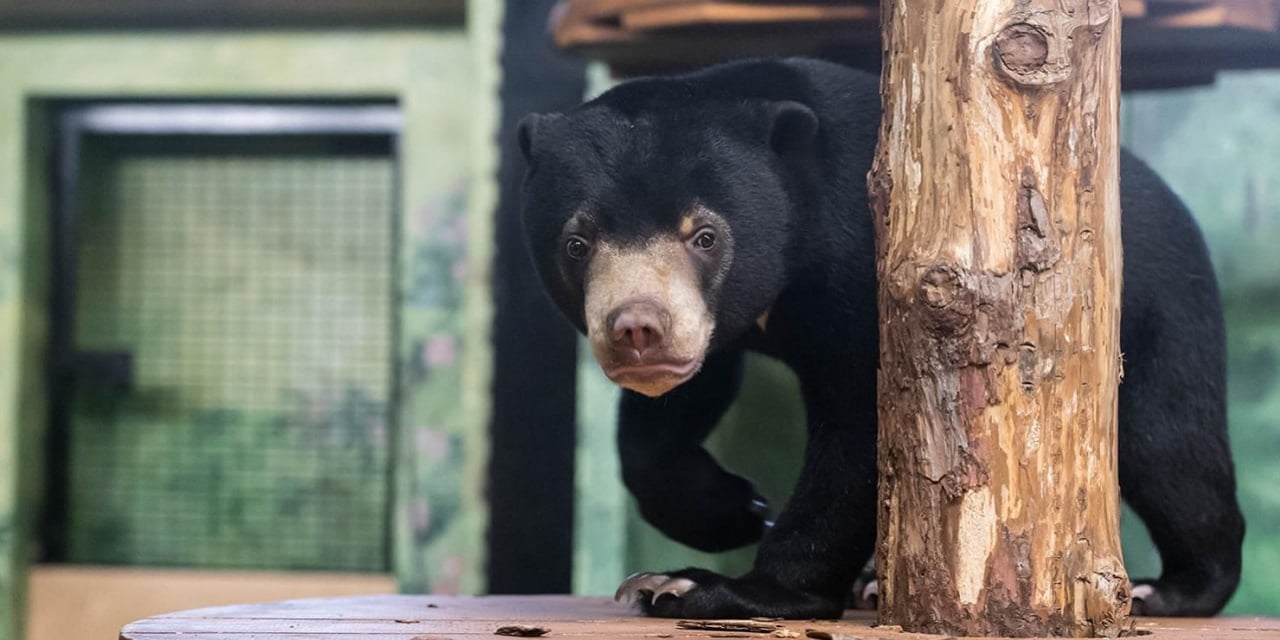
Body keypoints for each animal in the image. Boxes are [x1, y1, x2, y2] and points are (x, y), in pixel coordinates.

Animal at [514, 56, 1244, 619]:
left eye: (706, 235)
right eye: (576, 243)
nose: (637, 328)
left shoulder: (868, 270)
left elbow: (864, 429)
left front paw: (710, 587)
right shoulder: (721, 325)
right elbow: (673, 413)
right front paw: (729, 510)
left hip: (1158, 310)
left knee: (1168, 446)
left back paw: (1171, 589)